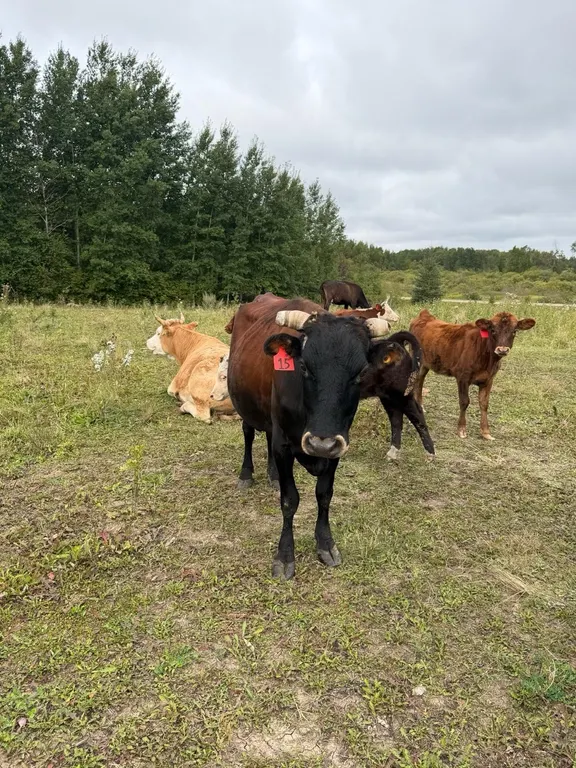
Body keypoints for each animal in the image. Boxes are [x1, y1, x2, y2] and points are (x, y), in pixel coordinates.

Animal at [229, 297, 408, 579]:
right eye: (303, 367)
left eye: (361, 372)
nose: (319, 443)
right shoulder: (284, 445)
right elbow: (289, 500)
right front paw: (284, 556)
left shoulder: (337, 445)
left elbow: (324, 495)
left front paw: (325, 543)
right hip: (246, 407)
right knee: (248, 433)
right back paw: (246, 474)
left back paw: (272, 475)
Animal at [409, 309, 536, 440]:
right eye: (492, 330)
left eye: (514, 331)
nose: (502, 350)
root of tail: (425, 315)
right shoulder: (462, 377)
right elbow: (464, 401)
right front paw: (461, 429)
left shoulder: (489, 379)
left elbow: (484, 403)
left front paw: (486, 431)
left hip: (426, 363)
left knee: (420, 379)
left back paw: (420, 406)